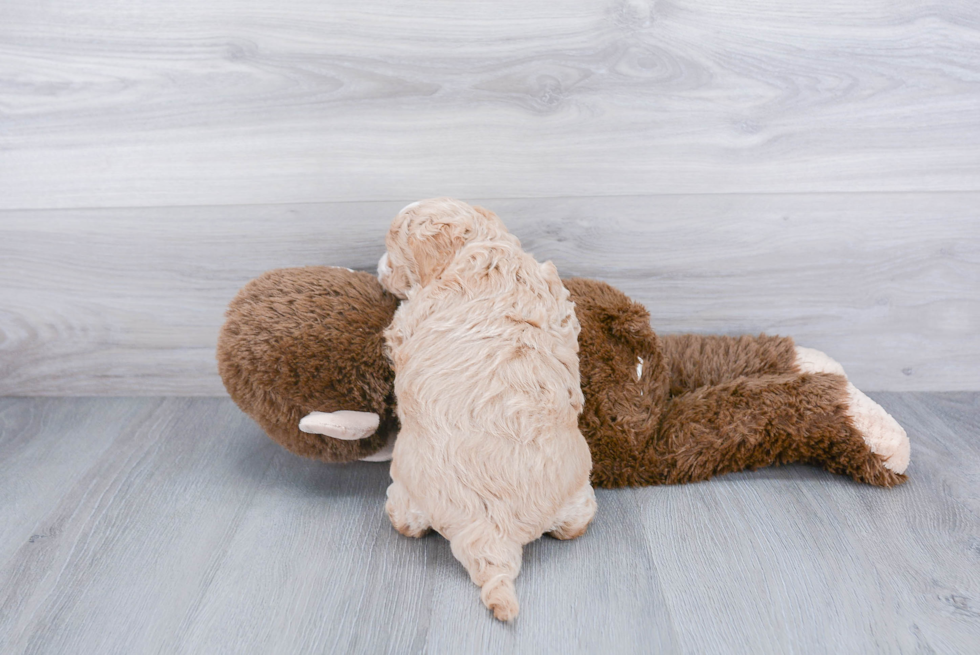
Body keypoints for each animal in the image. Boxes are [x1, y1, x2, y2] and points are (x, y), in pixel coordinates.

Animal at [378, 199, 592, 620]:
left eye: (393, 249)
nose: (377, 267)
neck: (484, 246)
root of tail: (492, 532)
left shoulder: (412, 317)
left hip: (405, 497)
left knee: (405, 523)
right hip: (578, 497)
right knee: (574, 526)